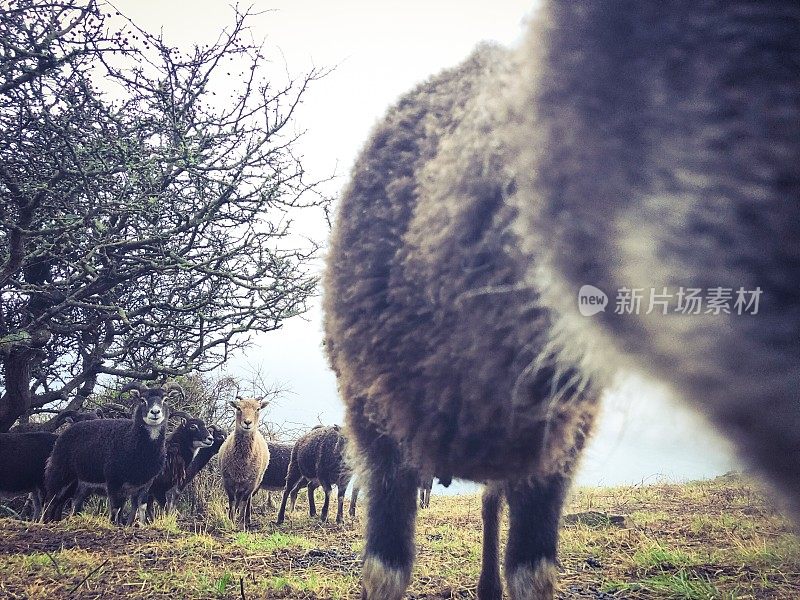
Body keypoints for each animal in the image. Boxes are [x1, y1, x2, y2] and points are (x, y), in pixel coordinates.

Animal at [43, 384, 177, 524]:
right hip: (59, 474)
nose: (155, 412)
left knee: (67, 503)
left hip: (78, 483)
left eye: (166, 399)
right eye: (142, 400)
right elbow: (115, 509)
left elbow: (141, 507)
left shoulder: (144, 485)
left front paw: (139, 524)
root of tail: (62, 436)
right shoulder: (114, 482)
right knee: (50, 501)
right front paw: (116, 524)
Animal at [217, 398, 270, 528]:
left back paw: (247, 518)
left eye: (258, 409)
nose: (247, 422)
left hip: (255, 482)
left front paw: (241, 524)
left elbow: (244, 502)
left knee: (247, 500)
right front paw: (231, 521)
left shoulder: (251, 484)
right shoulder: (228, 481)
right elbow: (231, 501)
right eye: (238, 408)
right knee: (237, 499)